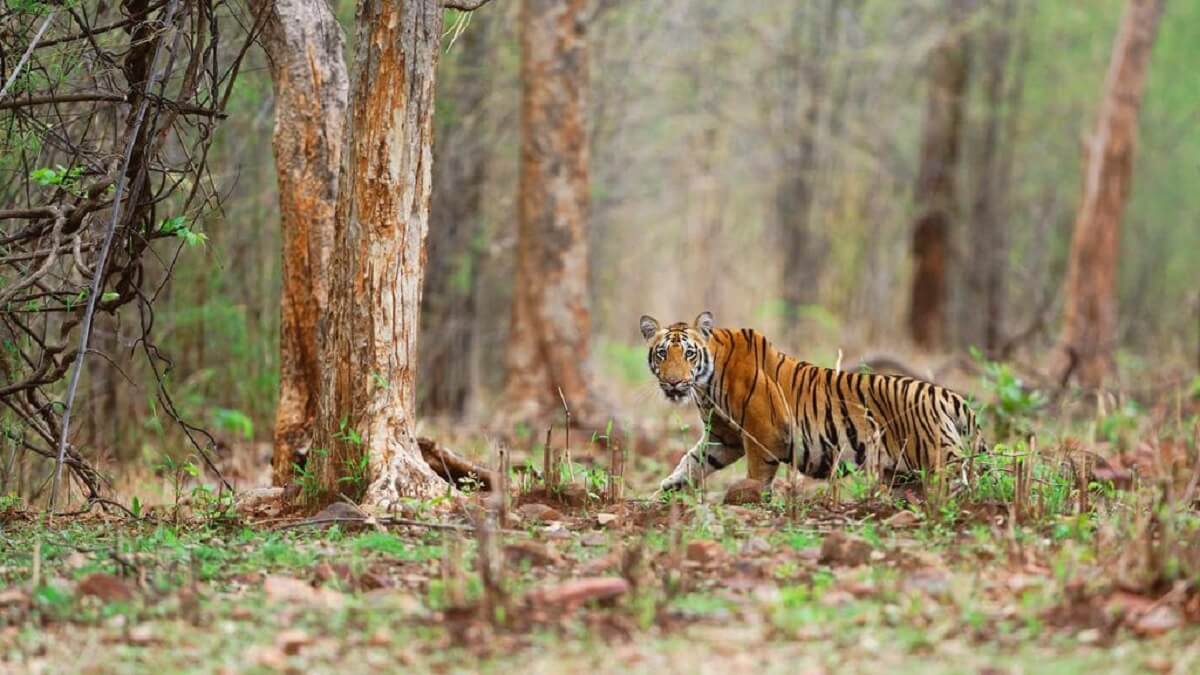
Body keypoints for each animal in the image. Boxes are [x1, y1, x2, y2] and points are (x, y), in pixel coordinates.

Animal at [640, 311, 984, 494]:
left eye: (689, 353)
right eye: (662, 353)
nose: (673, 382)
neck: (705, 385)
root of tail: (951, 396)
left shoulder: (763, 433)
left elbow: (756, 473)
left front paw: (753, 498)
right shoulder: (723, 438)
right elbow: (691, 462)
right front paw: (666, 491)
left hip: (940, 460)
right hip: (905, 472)